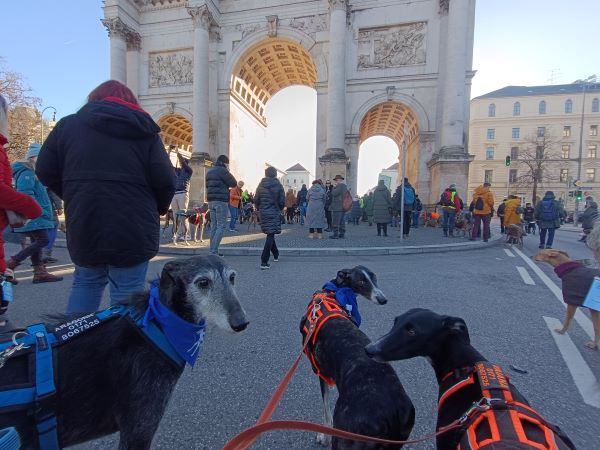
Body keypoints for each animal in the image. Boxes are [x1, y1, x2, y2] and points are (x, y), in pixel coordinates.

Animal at [298, 266, 414, 448]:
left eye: (374, 278)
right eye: (362, 281)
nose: (383, 299)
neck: (334, 290)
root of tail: (393, 411)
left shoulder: (321, 373)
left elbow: (326, 409)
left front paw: (323, 436)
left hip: (346, 437)